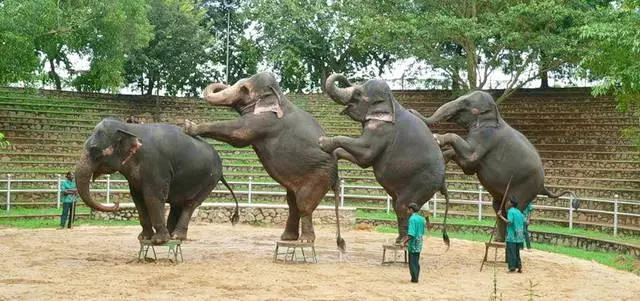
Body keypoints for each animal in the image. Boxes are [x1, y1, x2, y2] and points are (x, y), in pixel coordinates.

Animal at [75, 117, 239, 244]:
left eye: (95, 150)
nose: (116, 203)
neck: (129, 128)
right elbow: (138, 199)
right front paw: (143, 238)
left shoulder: (155, 164)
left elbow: (152, 196)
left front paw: (158, 241)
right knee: (177, 204)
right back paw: (171, 235)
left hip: (209, 180)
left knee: (190, 204)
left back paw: (176, 236)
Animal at [184, 71, 344, 251]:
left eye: (243, 89)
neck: (279, 95)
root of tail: (337, 174)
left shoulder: (266, 120)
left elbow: (239, 135)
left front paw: (189, 126)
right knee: (292, 203)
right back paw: (288, 238)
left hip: (319, 176)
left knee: (304, 205)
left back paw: (305, 241)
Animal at [318, 74, 450, 245]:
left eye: (358, 94)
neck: (392, 101)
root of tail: (443, 182)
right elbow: (363, 162)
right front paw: (333, 153)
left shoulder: (382, 129)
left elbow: (366, 153)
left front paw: (322, 143)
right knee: (397, 206)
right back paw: (398, 240)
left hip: (422, 183)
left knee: (404, 206)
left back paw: (402, 242)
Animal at [410, 90, 580, 240]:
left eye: (465, 102)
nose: (411, 110)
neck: (494, 114)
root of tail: (543, 186)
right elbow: (468, 166)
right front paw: (443, 156)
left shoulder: (487, 138)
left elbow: (469, 160)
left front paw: (437, 138)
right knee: (498, 207)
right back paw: (499, 240)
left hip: (526, 189)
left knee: (512, 209)